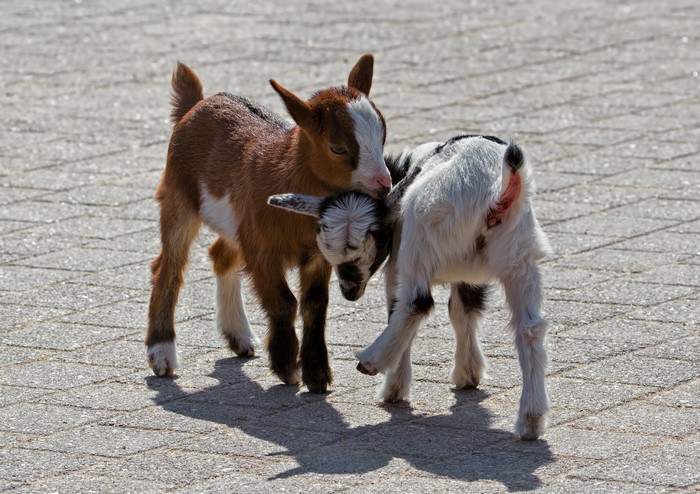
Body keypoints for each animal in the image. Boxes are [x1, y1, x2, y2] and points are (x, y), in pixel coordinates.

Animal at [146, 55, 392, 394]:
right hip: (177, 196)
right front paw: (287, 366)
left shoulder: (316, 255)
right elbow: (283, 302)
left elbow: (315, 306)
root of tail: (194, 103)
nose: (384, 184)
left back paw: (238, 335)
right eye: (338, 148)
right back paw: (162, 353)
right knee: (169, 267)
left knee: (221, 254)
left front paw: (317, 375)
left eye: (383, 136)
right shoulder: (262, 250)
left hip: (235, 221)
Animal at [269, 134, 552, 439]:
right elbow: (462, 311)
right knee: (529, 329)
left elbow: (398, 309)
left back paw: (372, 361)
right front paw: (468, 372)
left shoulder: (397, 264)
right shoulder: (466, 276)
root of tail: (494, 191)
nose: (349, 290)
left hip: (419, 242)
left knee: (416, 304)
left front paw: (396, 387)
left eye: (378, 239)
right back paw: (531, 419)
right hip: (518, 256)